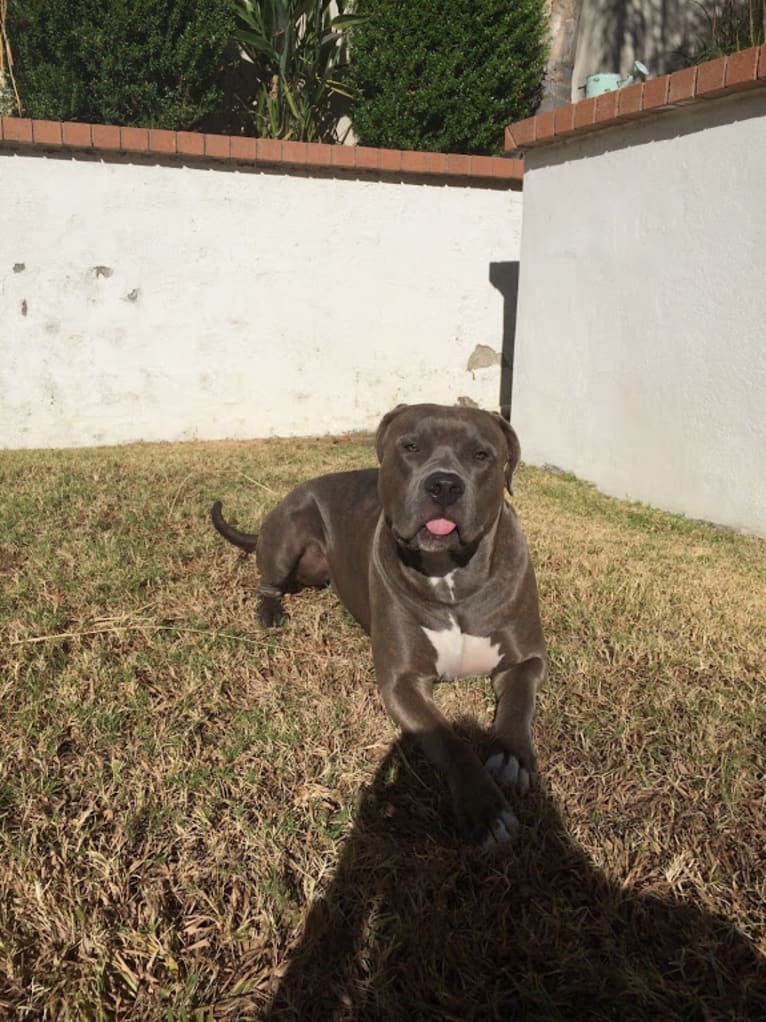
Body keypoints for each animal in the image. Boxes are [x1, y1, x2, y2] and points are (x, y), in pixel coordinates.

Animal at [210, 402, 547, 842]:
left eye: (481, 455)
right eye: (411, 446)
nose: (443, 485)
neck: (451, 576)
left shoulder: (528, 658)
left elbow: (519, 698)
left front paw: (510, 755)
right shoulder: (401, 682)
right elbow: (451, 742)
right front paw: (485, 809)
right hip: (287, 532)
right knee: (268, 580)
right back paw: (269, 613)